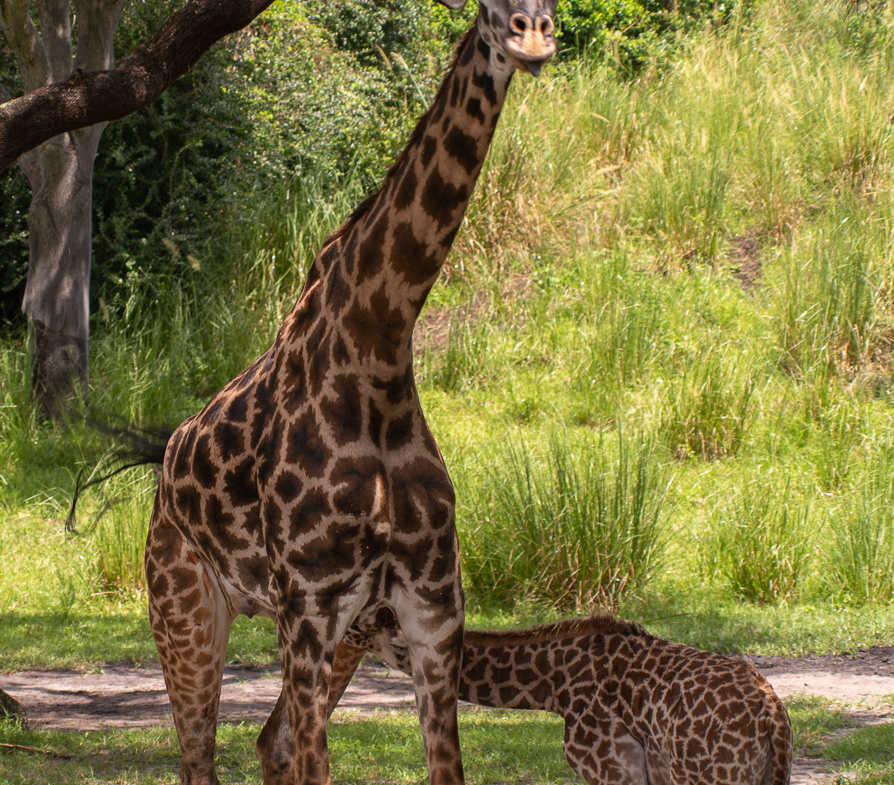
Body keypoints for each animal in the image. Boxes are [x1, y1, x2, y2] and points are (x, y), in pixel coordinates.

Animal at [141, 2, 558, 784]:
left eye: (557, 9)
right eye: (487, 10)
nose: (532, 37)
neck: (380, 350)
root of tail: (166, 462)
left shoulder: (431, 615)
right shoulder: (306, 608)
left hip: (353, 633)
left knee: (269, 741)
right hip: (184, 604)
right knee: (198, 754)